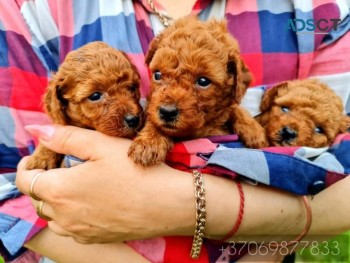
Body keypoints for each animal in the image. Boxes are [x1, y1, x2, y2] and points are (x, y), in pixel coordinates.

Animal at [129, 16, 268, 167]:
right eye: (157, 75)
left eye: (203, 81)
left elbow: (234, 108)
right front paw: (149, 141)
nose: (167, 112)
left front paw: (254, 131)